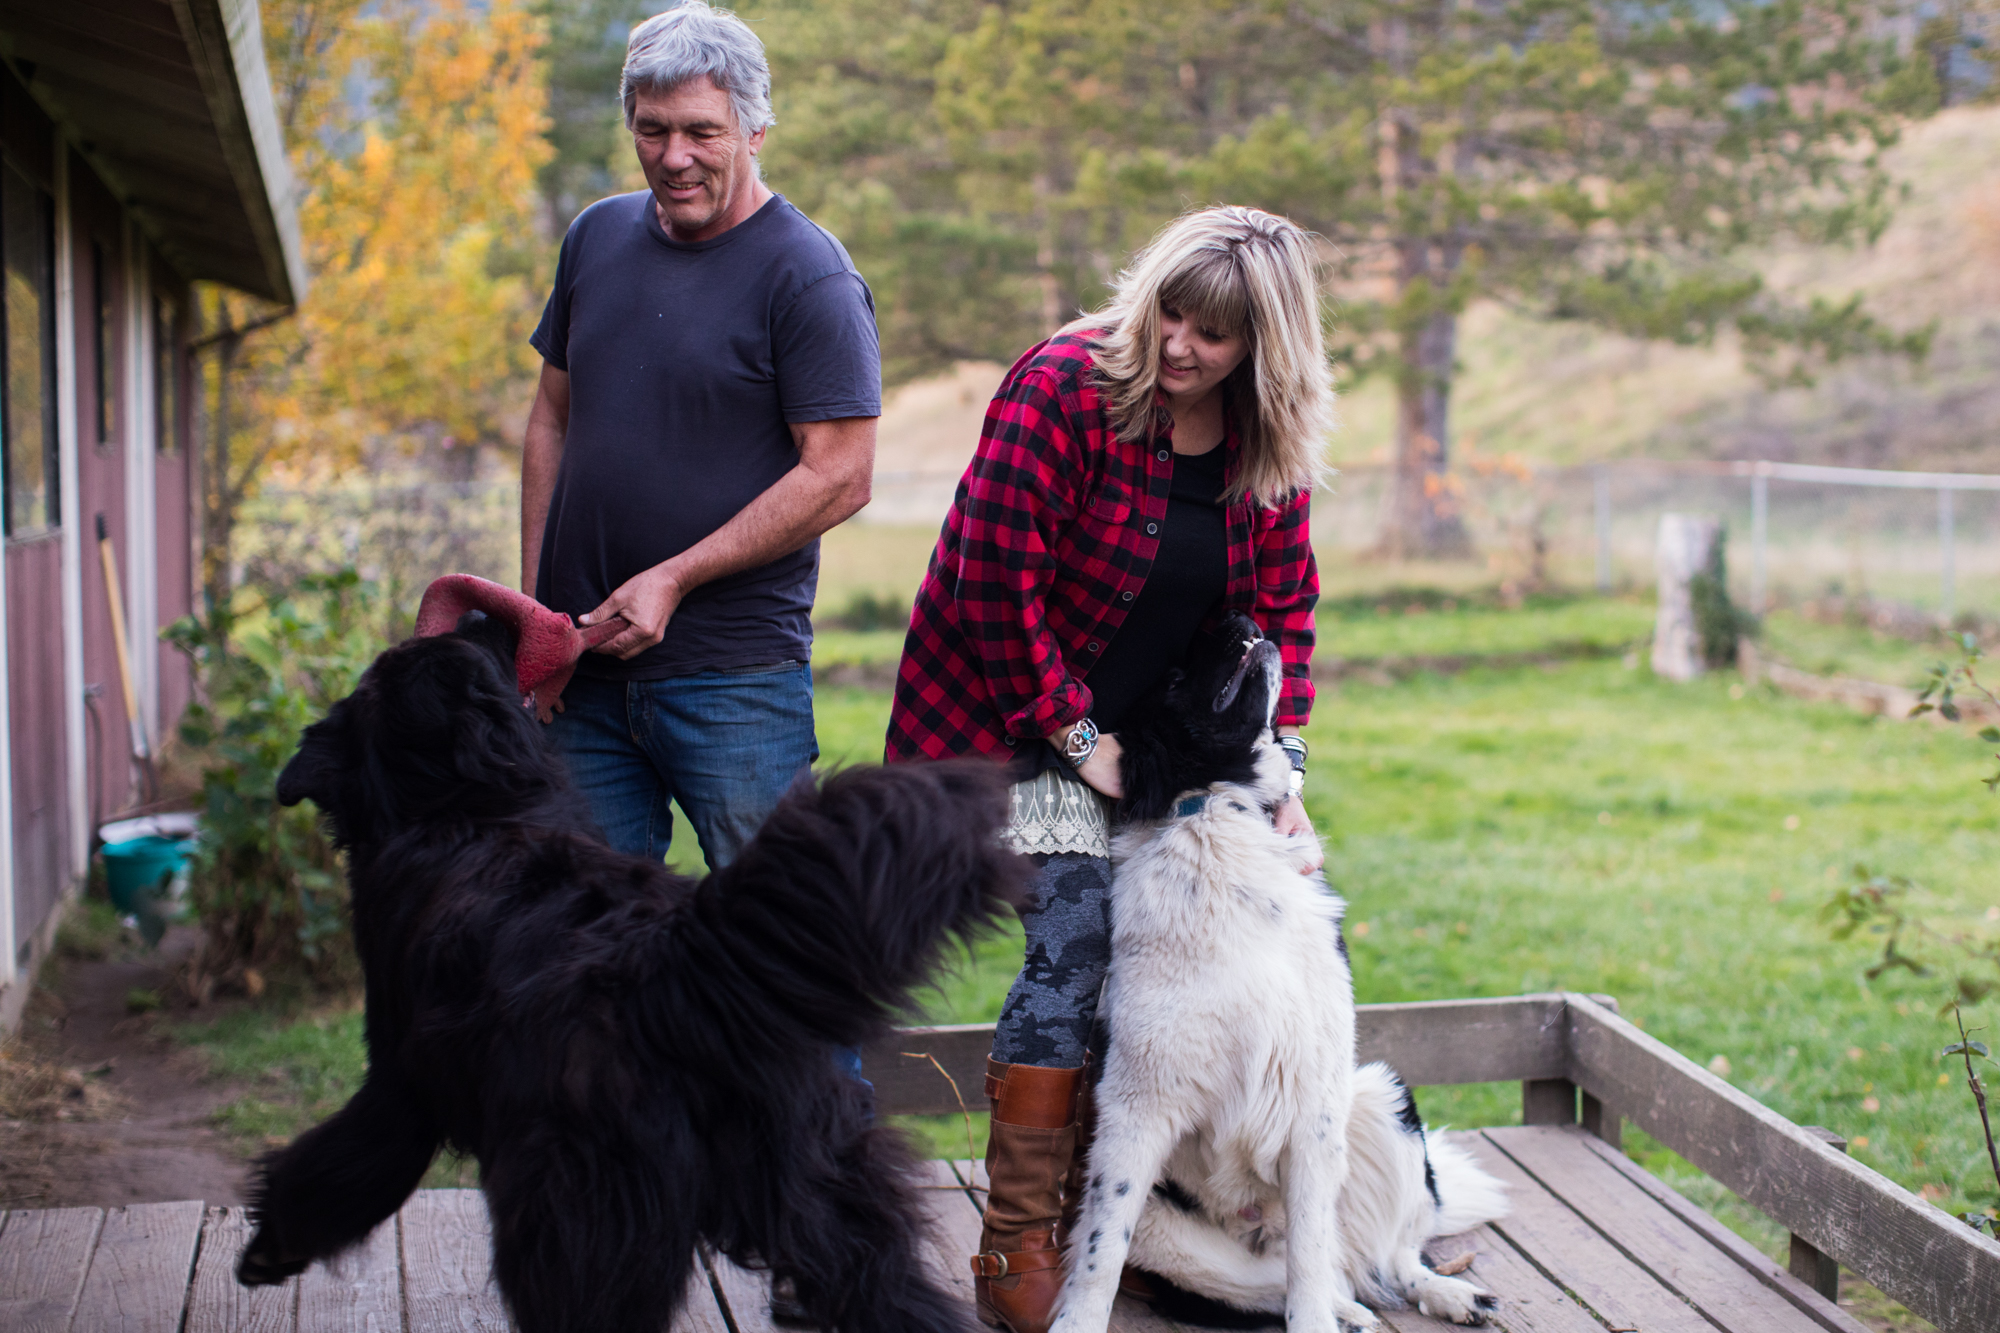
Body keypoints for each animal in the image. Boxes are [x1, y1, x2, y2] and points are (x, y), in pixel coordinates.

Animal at [248, 616, 1024, 1328]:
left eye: (452, 648)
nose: (481, 614)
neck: (463, 806)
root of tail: (673, 963)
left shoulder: (401, 1083)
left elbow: (337, 1166)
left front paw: (270, 1246)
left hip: (573, 1216)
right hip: (824, 1188)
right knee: (895, 1294)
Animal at [1056, 612, 1504, 1328]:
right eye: (1175, 677)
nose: (1234, 616)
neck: (1214, 813)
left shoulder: (1316, 1107)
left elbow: (1311, 1258)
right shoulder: (1133, 1113)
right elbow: (1100, 1251)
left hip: (1382, 1099)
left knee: (1386, 1255)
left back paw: (1450, 1293)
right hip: (1181, 1242)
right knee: (1298, 1279)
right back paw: (1355, 1311)